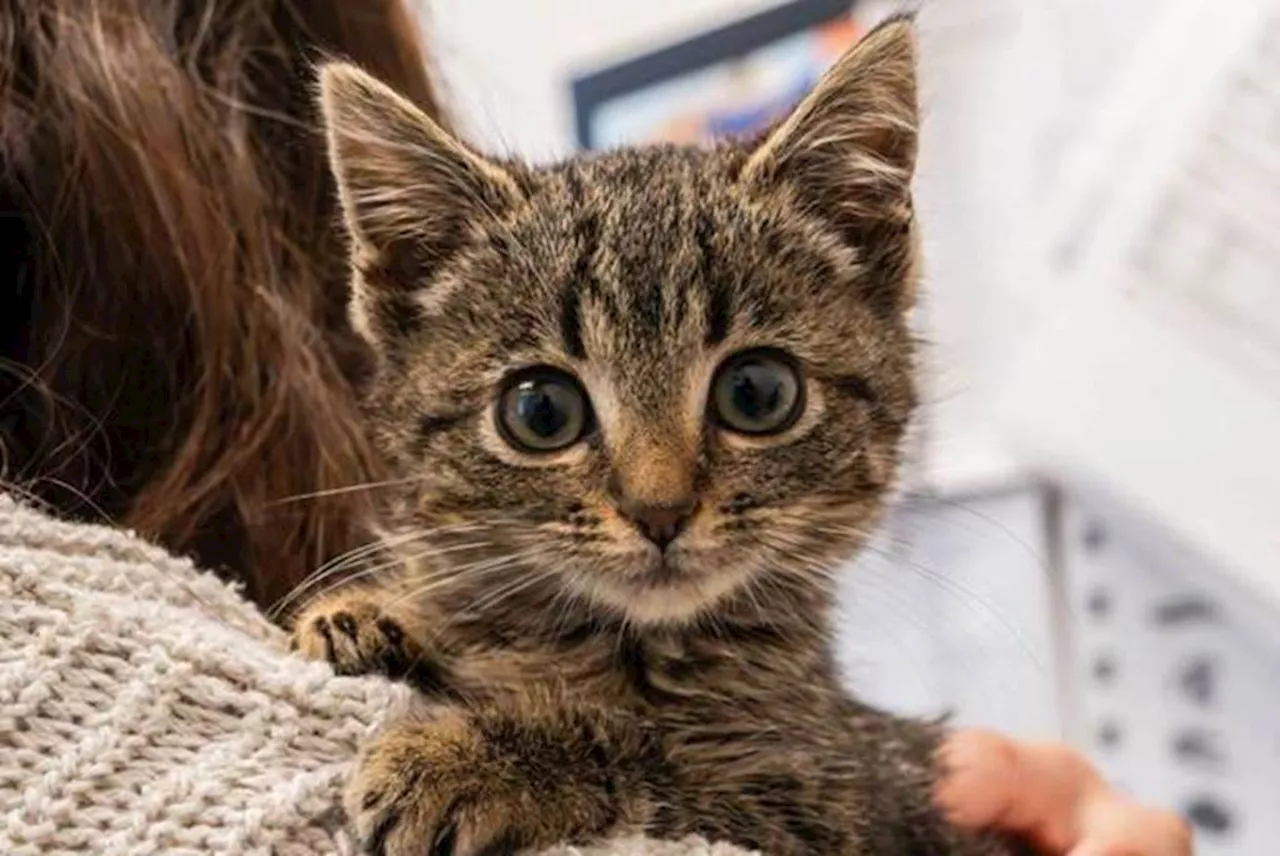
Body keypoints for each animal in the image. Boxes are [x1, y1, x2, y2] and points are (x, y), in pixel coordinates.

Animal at [293, 15, 1018, 854]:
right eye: (541, 412)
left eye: (758, 393)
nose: (660, 511)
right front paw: (373, 613)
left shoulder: (831, 803)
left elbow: (649, 756)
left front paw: (477, 760)